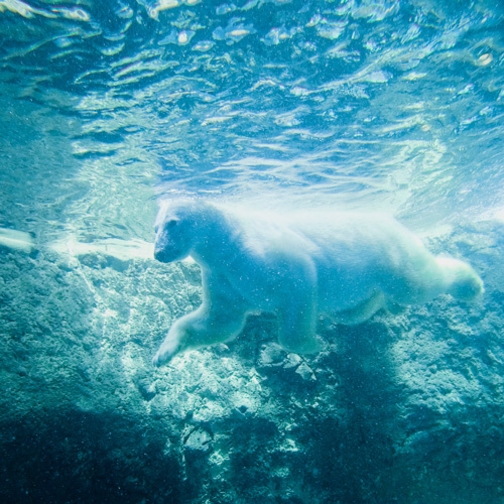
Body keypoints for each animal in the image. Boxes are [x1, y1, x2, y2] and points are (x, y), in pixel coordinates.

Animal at [151, 198, 484, 366]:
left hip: (388, 254)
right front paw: (162, 354)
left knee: (416, 282)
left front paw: (314, 344)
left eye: (173, 223)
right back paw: (382, 306)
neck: (228, 242)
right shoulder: (225, 278)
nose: (158, 253)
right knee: (356, 308)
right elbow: (219, 321)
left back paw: (471, 284)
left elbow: (298, 280)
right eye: (155, 227)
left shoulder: (257, 256)